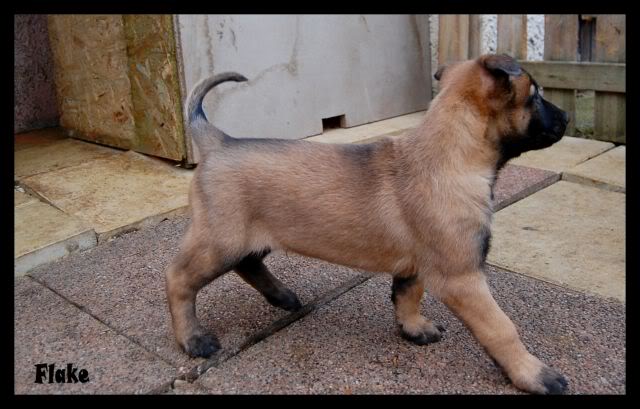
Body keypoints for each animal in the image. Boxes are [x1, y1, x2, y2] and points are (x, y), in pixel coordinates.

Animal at [166, 53, 568, 392]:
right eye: (535, 95)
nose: (566, 118)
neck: (451, 156)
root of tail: (219, 141)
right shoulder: (462, 278)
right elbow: (502, 328)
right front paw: (534, 374)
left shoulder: (417, 264)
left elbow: (408, 295)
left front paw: (414, 328)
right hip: (219, 241)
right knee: (179, 279)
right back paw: (193, 338)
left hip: (250, 236)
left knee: (248, 263)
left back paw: (282, 296)